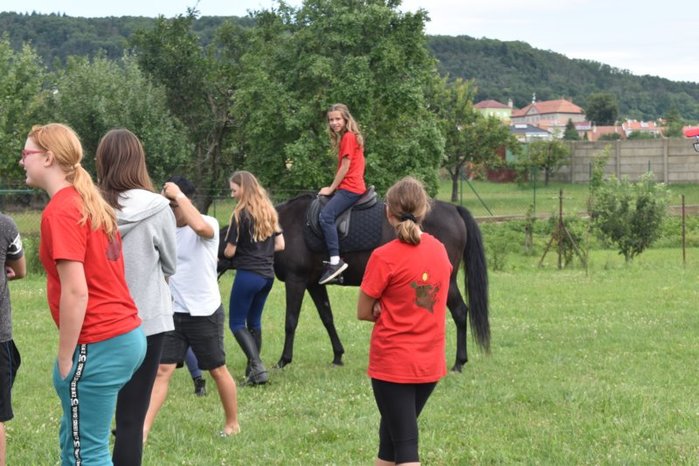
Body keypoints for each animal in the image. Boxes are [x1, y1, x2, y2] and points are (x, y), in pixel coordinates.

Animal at [271, 193, 490, 373]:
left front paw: (283, 360)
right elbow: (327, 318)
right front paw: (338, 355)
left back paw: (458, 363)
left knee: (460, 312)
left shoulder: (296, 279)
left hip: (447, 282)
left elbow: (290, 320)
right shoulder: (314, 284)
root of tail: (454, 209)